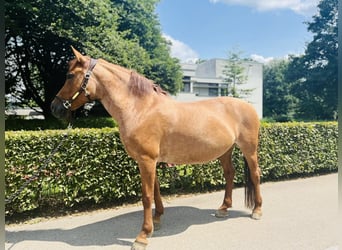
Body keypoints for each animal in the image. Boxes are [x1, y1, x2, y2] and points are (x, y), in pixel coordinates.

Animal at [51, 47, 262, 250]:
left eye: (70, 75)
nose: (55, 107)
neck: (140, 109)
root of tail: (248, 106)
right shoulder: (149, 161)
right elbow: (156, 190)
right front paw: (157, 219)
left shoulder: (147, 160)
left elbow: (146, 196)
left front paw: (143, 236)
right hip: (225, 151)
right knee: (229, 173)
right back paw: (223, 208)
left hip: (249, 149)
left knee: (255, 174)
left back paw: (257, 210)